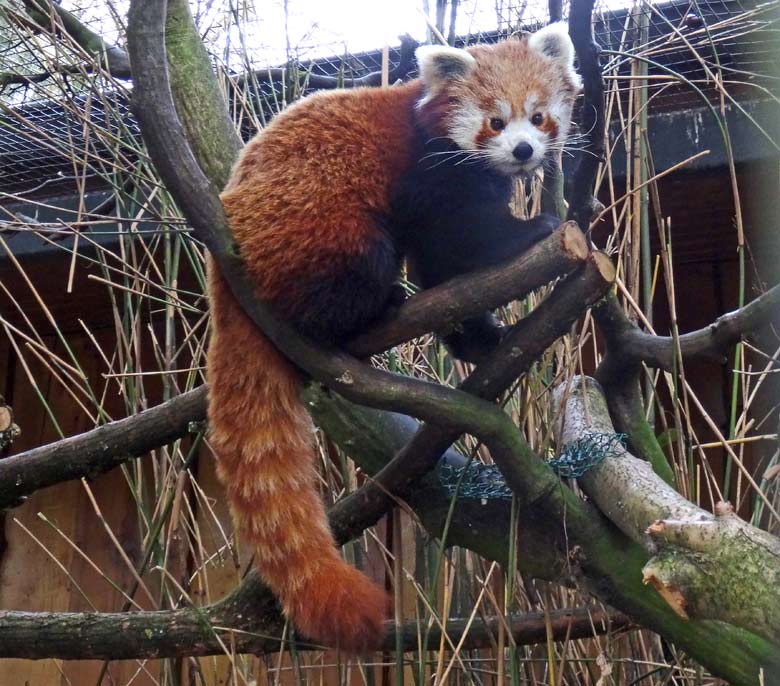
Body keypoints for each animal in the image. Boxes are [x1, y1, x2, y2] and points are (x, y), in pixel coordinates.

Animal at [210, 22, 580, 656]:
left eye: (539, 116)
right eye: (495, 122)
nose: (525, 152)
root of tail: (228, 256)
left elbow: (446, 270)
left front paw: (477, 339)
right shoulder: (430, 174)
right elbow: (459, 237)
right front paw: (536, 230)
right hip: (319, 226)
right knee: (359, 265)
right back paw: (365, 314)